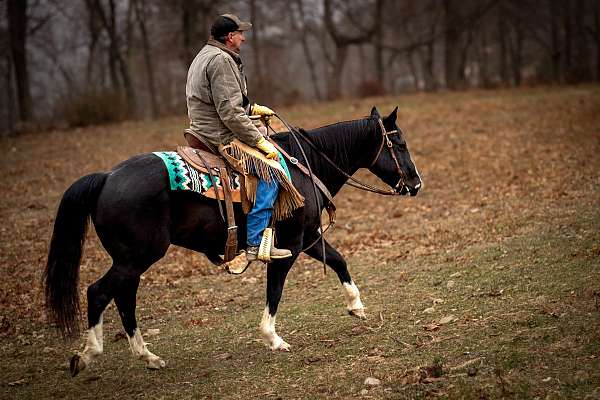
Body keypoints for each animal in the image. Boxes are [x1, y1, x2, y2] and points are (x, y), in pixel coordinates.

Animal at [44, 107, 420, 376]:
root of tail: (106, 177)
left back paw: (148, 356)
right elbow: (275, 289)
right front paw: (273, 337)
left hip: (132, 261)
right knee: (99, 292)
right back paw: (88, 355)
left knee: (124, 298)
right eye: (399, 144)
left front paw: (356, 306)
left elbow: (339, 259)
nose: (416, 184)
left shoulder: (309, 236)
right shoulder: (290, 244)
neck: (306, 165)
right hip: (136, 258)